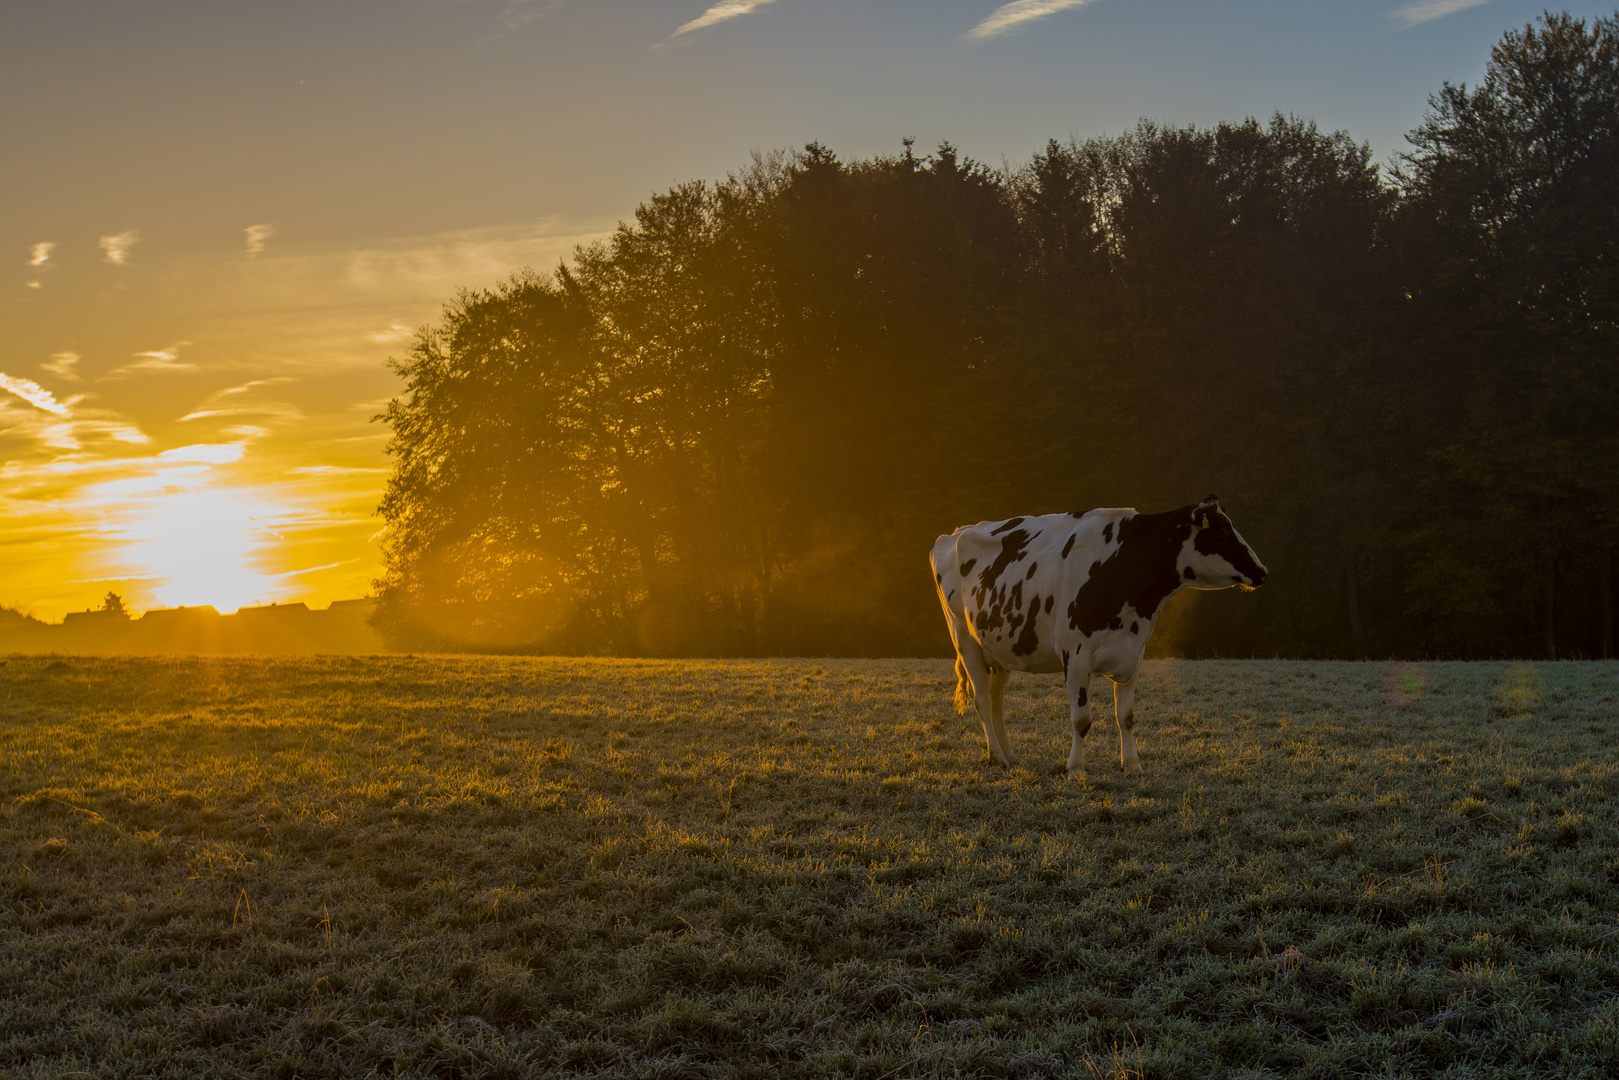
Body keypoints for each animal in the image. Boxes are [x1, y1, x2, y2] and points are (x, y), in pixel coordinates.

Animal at [939, 498, 1262, 777]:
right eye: (1222, 529)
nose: (1262, 570)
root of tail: (955, 532)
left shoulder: (1134, 653)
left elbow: (1126, 715)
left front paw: (1132, 766)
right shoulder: (1075, 656)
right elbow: (1081, 719)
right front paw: (1075, 769)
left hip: (999, 648)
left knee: (996, 701)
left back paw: (1009, 754)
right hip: (964, 638)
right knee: (982, 699)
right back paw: (996, 756)